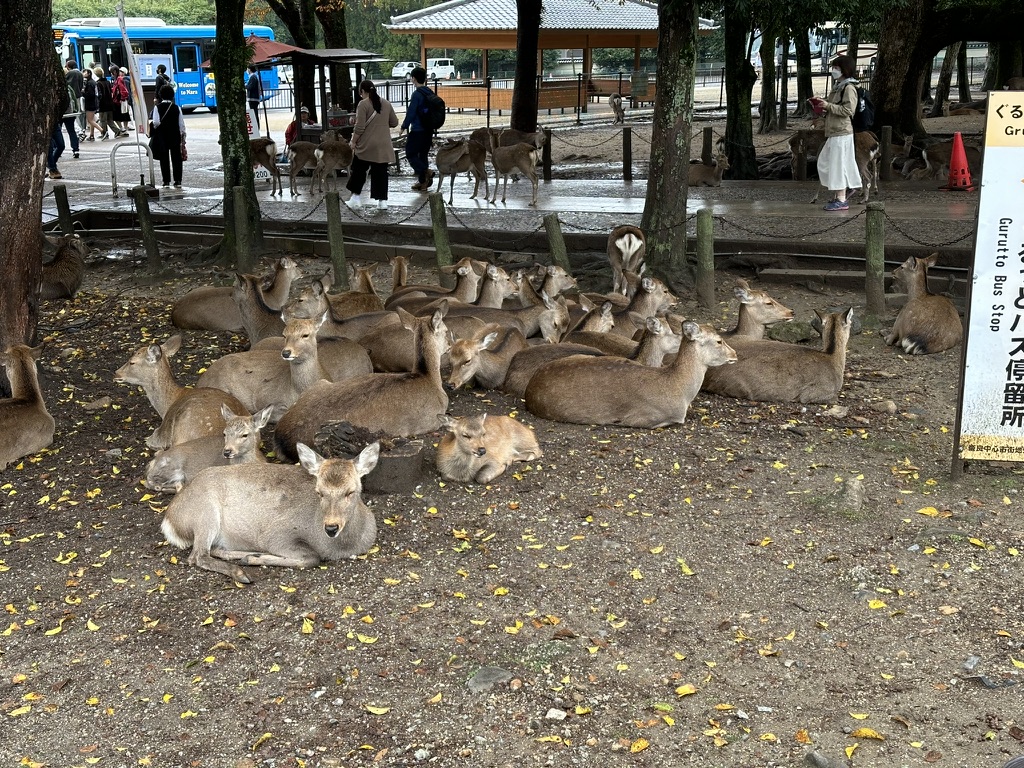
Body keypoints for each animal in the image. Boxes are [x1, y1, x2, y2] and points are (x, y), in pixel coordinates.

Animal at [161, 441, 380, 583]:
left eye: (351, 491)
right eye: (319, 492)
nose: (331, 527)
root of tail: (169, 519)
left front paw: (253, 557)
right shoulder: (276, 535)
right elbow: (311, 558)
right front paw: (256, 559)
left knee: (214, 549)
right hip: (204, 512)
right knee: (197, 555)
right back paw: (241, 572)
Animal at [274, 307, 451, 461]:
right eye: (445, 330)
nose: (450, 344)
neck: (429, 377)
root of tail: (281, 439)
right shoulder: (433, 420)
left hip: (319, 384)